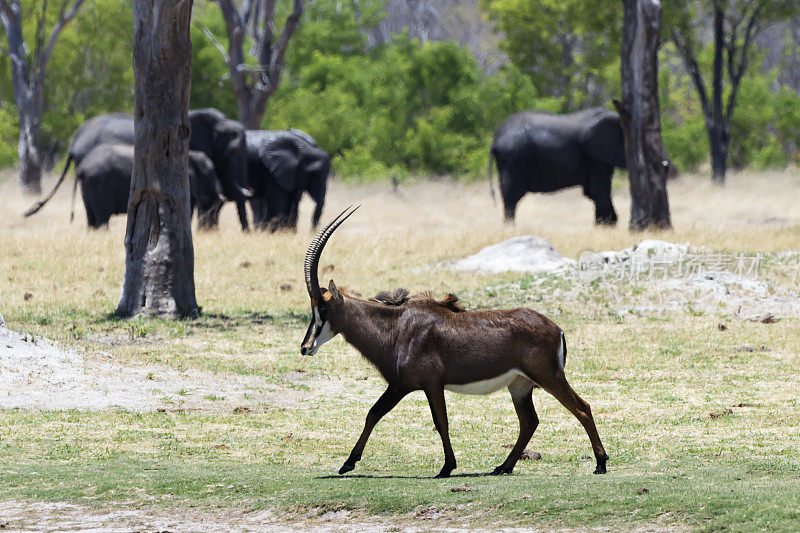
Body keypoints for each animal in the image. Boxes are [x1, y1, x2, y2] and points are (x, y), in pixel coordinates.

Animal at [76, 142, 225, 228]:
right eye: (208, 172)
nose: (210, 231)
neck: (192, 155)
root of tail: (82, 167)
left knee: (91, 219)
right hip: (99, 183)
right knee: (102, 218)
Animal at [300, 206, 608, 476]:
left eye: (323, 308)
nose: (305, 347)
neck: (397, 326)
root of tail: (556, 328)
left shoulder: (422, 385)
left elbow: (436, 422)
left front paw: (446, 467)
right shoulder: (404, 385)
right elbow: (375, 414)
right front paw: (348, 463)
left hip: (549, 377)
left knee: (582, 408)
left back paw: (600, 464)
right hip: (520, 386)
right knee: (529, 422)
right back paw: (503, 467)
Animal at [490, 108, 628, 224]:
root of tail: (495, 139)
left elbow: (592, 191)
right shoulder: (595, 157)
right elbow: (600, 189)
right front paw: (607, 225)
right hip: (513, 157)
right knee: (511, 195)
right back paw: (510, 227)